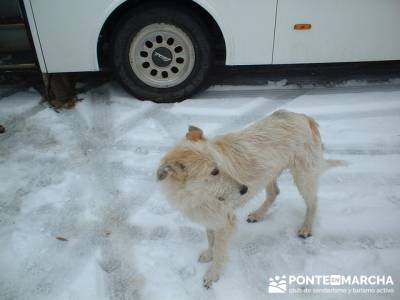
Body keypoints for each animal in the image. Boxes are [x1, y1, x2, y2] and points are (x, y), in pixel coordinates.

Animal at [158, 110, 346, 288]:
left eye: (222, 166)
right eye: (214, 172)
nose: (244, 189)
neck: (198, 194)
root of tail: (303, 116)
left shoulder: (224, 221)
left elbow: (219, 250)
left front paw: (212, 275)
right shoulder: (209, 217)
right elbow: (211, 239)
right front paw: (208, 254)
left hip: (303, 176)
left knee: (313, 201)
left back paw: (306, 227)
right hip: (269, 173)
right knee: (274, 193)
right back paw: (258, 214)